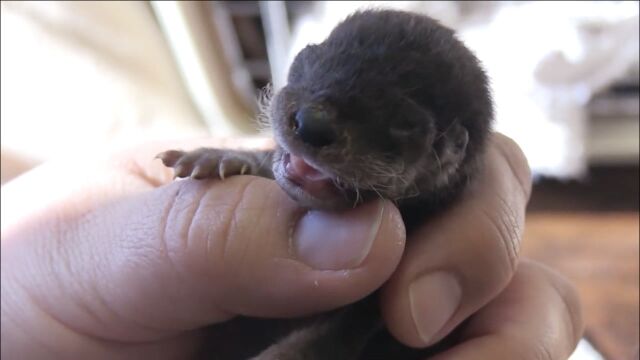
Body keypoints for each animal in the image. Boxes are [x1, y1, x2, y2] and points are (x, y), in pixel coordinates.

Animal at [158, 8, 492, 360]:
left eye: (405, 125)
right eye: (313, 63)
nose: (313, 123)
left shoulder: (367, 311)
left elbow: (325, 339)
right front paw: (220, 156)